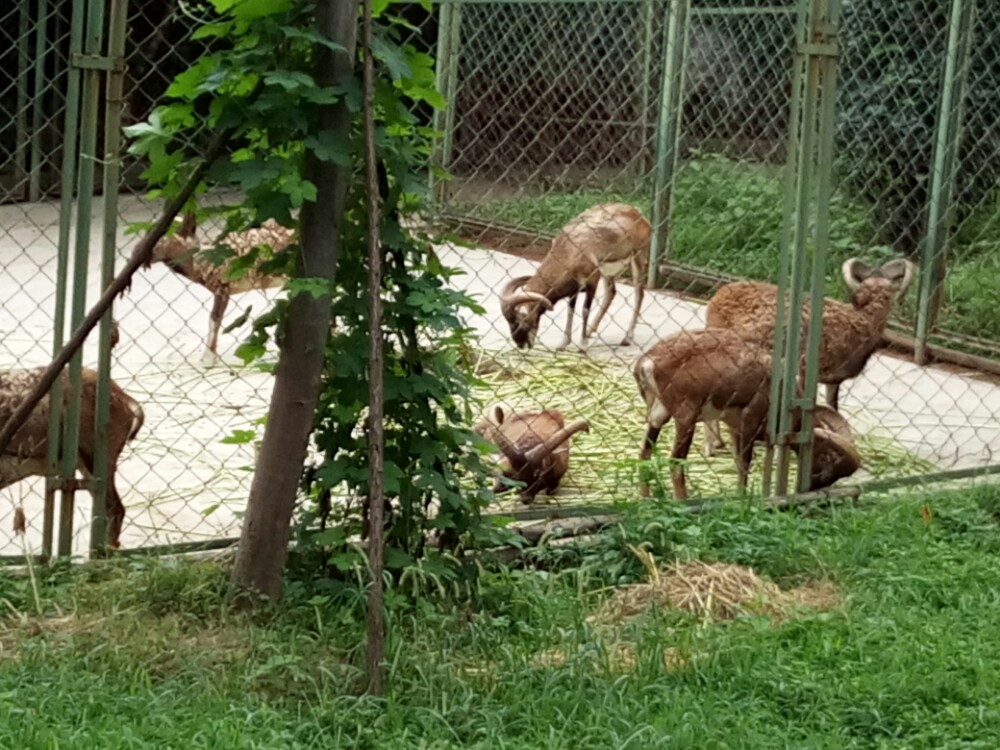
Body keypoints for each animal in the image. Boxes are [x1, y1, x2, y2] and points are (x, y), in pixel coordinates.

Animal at [632, 330, 860, 502]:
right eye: (826, 464)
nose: (813, 487)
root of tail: (647, 363)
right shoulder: (750, 418)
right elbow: (744, 463)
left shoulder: (734, 428)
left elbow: (737, 462)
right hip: (686, 417)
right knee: (675, 461)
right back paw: (682, 501)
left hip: (658, 415)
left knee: (644, 453)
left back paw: (645, 499)